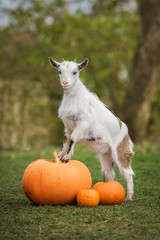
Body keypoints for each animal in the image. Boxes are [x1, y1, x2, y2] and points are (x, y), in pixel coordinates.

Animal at [49, 58, 134, 201]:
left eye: (75, 72)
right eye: (60, 71)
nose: (65, 83)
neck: (75, 98)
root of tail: (126, 133)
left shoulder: (82, 124)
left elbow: (73, 138)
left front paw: (66, 158)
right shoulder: (68, 126)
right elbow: (66, 139)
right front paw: (60, 155)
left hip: (120, 150)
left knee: (128, 172)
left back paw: (129, 197)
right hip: (106, 155)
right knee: (110, 173)